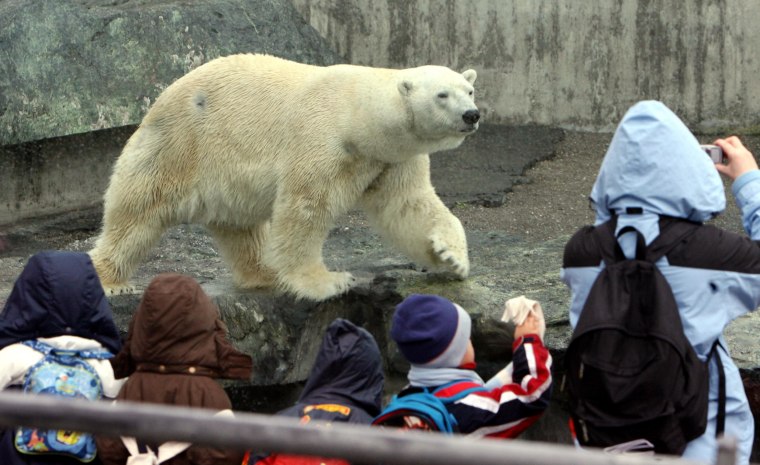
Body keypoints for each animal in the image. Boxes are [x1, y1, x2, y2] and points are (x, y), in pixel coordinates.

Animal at [90, 53, 480, 300]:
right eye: (442, 95)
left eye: (470, 90)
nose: (472, 115)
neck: (358, 114)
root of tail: (160, 99)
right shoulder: (323, 139)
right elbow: (305, 208)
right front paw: (328, 282)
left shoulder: (390, 158)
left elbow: (409, 205)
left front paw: (451, 257)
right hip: (179, 146)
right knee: (137, 214)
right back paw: (110, 280)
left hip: (225, 179)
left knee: (242, 229)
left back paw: (264, 273)